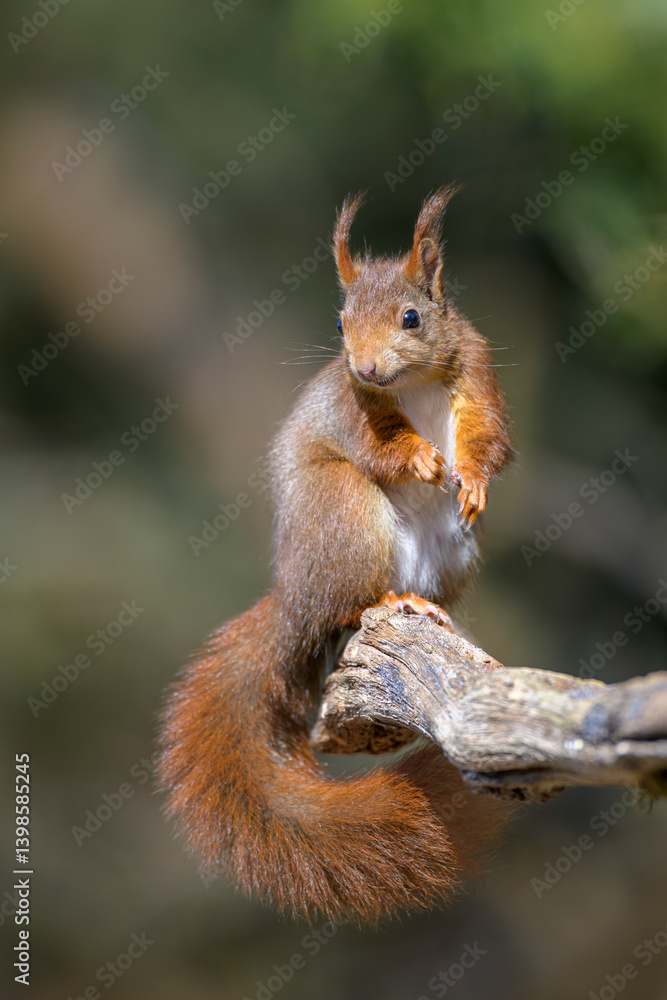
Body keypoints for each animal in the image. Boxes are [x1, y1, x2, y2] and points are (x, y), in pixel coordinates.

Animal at [157, 185, 515, 926]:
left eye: (411, 316)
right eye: (342, 319)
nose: (366, 368)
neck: (411, 383)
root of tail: (293, 597)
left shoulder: (479, 372)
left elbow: (488, 436)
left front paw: (470, 480)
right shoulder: (354, 411)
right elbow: (381, 447)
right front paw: (423, 461)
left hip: (452, 555)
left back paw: (429, 609)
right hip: (346, 515)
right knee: (348, 604)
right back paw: (388, 600)